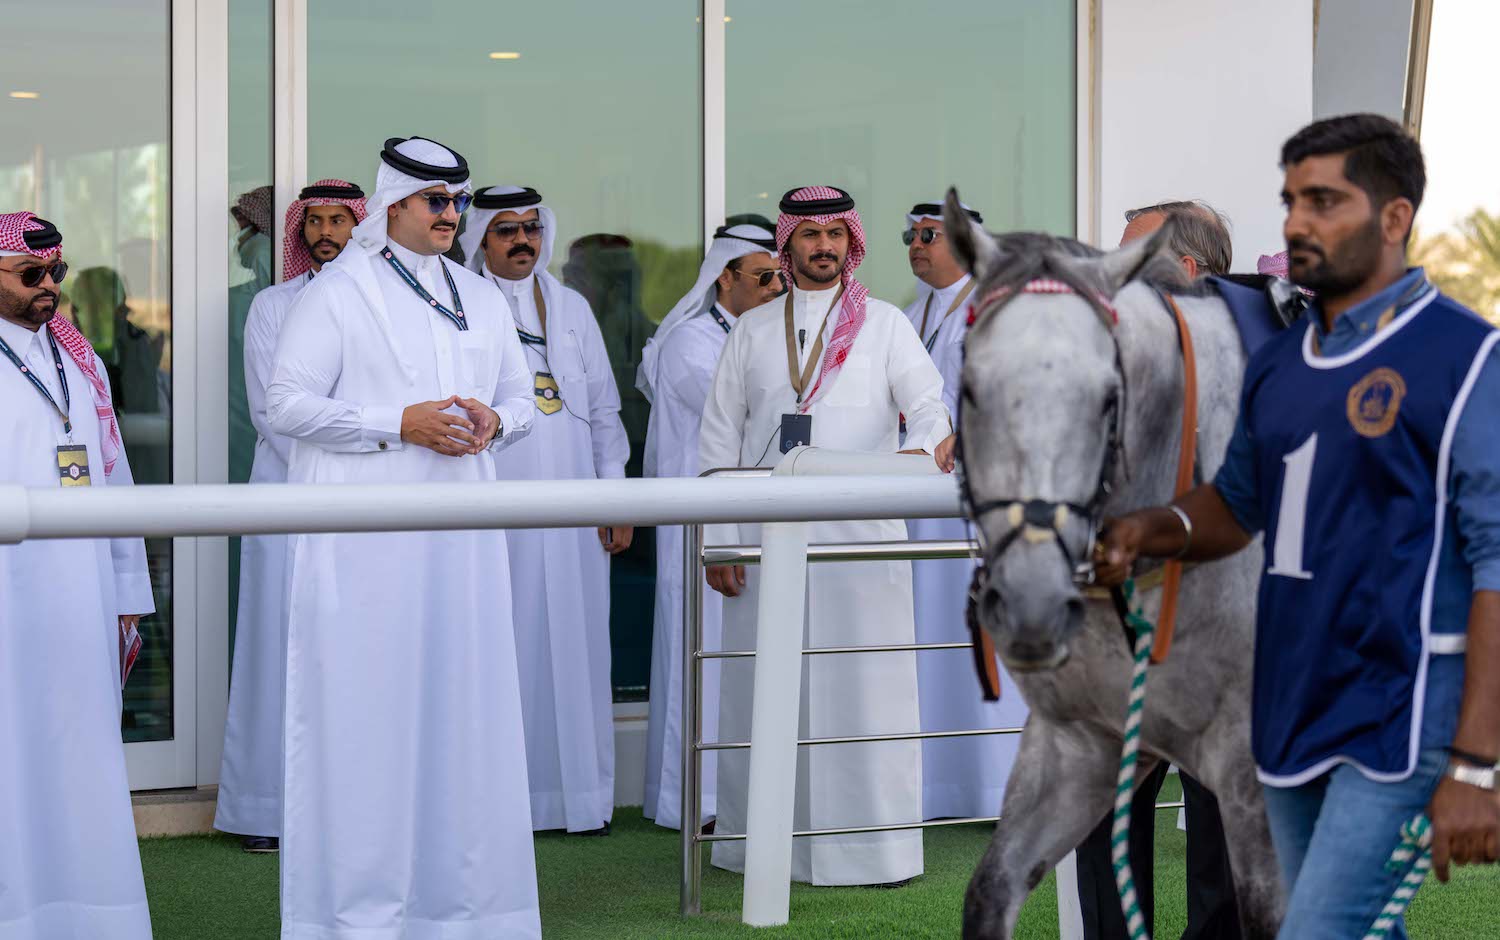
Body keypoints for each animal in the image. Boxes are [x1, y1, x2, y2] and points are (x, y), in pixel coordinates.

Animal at [942, 189, 1285, 939]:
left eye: (1109, 398)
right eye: (970, 386)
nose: (1032, 605)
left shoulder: (1261, 777)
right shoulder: (1082, 744)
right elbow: (991, 889)